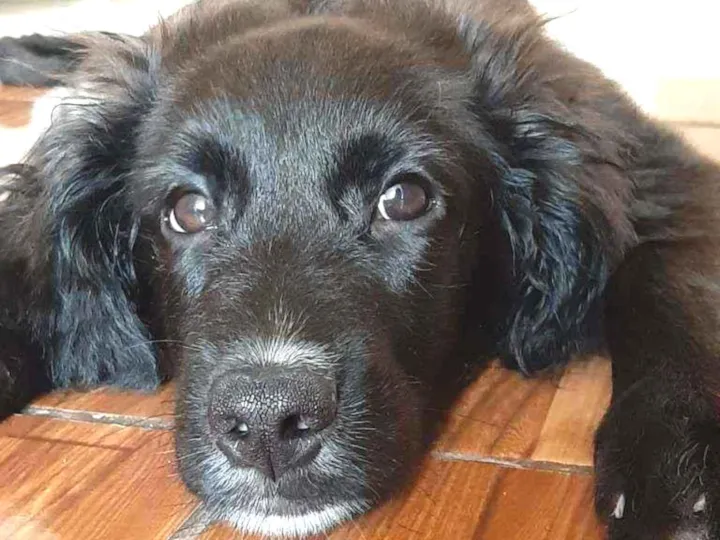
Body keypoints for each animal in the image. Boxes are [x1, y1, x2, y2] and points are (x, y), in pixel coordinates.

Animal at [1, 0, 720, 538]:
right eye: (189, 210)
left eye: (403, 198)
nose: (267, 423)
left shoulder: (667, 174)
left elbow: (663, 273)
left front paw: (679, 450)